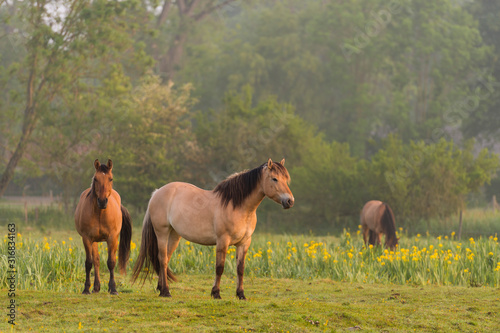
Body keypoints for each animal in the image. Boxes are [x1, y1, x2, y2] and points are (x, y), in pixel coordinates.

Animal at [74, 158, 132, 294]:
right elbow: (89, 262)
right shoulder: (87, 239)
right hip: (94, 241)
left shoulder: (112, 238)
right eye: (96, 179)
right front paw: (86, 288)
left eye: (111, 179)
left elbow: (111, 262)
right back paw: (96, 287)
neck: (100, 213)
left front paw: (113, 288)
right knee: (96, 261)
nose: (102, 201)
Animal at [132, 158, 292, 298]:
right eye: (274, 179)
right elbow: (219, 268)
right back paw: (166, 292)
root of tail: (157, 192)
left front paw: (241, 294)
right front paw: (216, 293)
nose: (290, 201)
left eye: (286, 179)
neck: (239, 208)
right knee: (163, 259)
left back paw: (161, 288)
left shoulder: (244, 243)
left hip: (174, 235)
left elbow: (240, 269)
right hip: (162, 233)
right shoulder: (222, 241)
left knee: (165, 259)